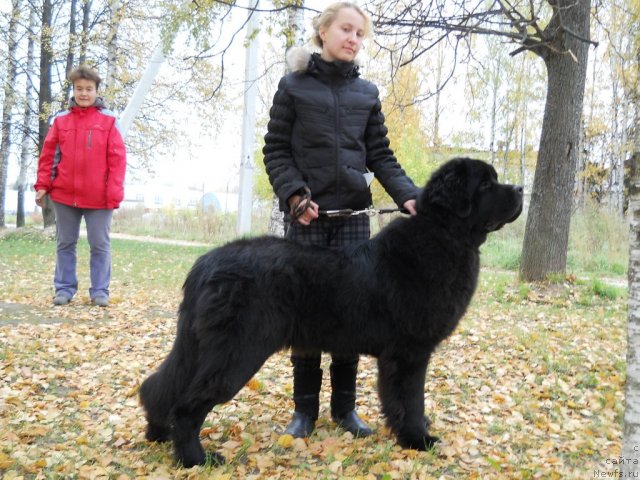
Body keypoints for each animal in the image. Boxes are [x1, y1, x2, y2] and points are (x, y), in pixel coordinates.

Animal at [139, 158, 520, 464]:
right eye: (485, 184)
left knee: (160, 386)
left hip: (201, 346)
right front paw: (417, 439)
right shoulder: (410, 353)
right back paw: (195, 458)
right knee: (187, 406)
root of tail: (206, 263)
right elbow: (412, 400)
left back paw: (158, 433)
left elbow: (400, 400)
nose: (519, 188)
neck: (444, 234)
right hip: (237, 352)